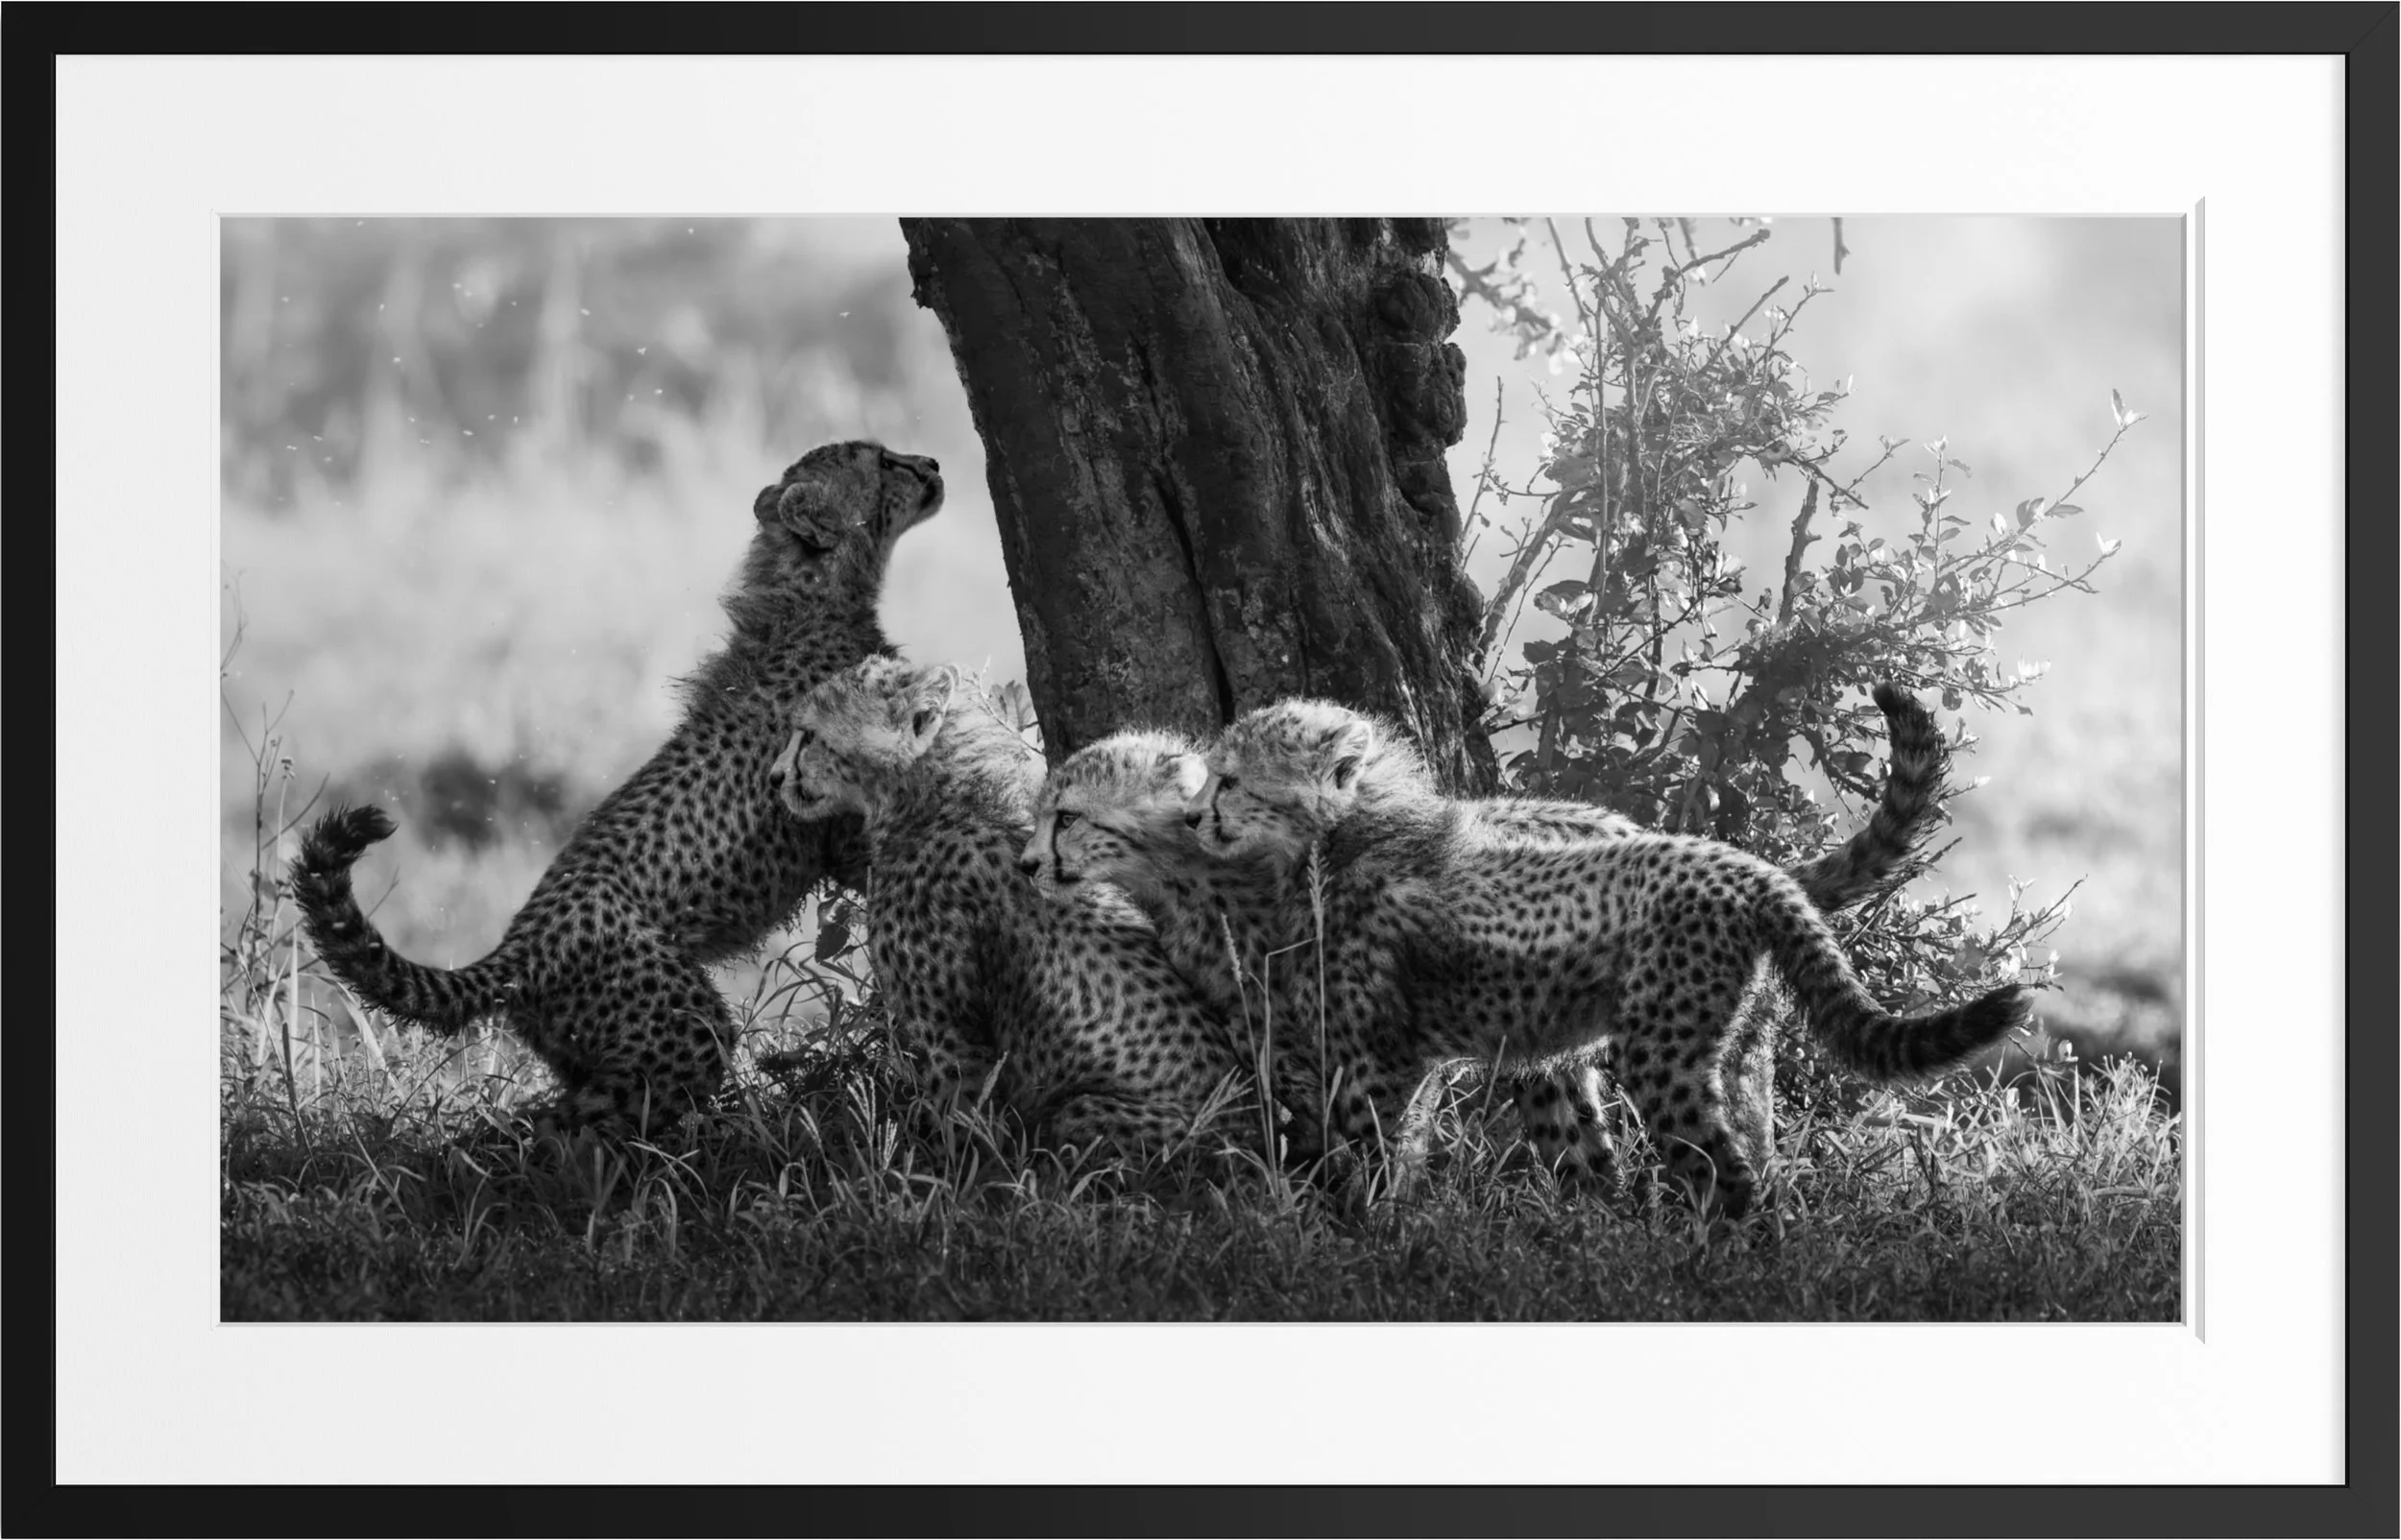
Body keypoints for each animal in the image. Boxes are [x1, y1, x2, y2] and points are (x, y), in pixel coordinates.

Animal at [291, 440, 945, 1139]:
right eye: (882, 462)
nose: (932, 463)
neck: (811, 594)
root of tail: (517, 946)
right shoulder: (840, 827)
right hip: (683, 1027)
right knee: (567, 1129)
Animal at [770, 656, 1256, 1162]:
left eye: (809, 735)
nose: (774, 777)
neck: (943, 799)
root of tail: (1246, 1128)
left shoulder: (950, 1031)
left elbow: (962, 1112)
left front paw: (947, 1169)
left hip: (1081, 1115)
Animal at [1019, 682, 1949, 1190]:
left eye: (1068, 817)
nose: (1027, 861)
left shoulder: (1366, 1047)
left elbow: (1368, 1149)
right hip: (1585, 1053)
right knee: (1618, 1162)